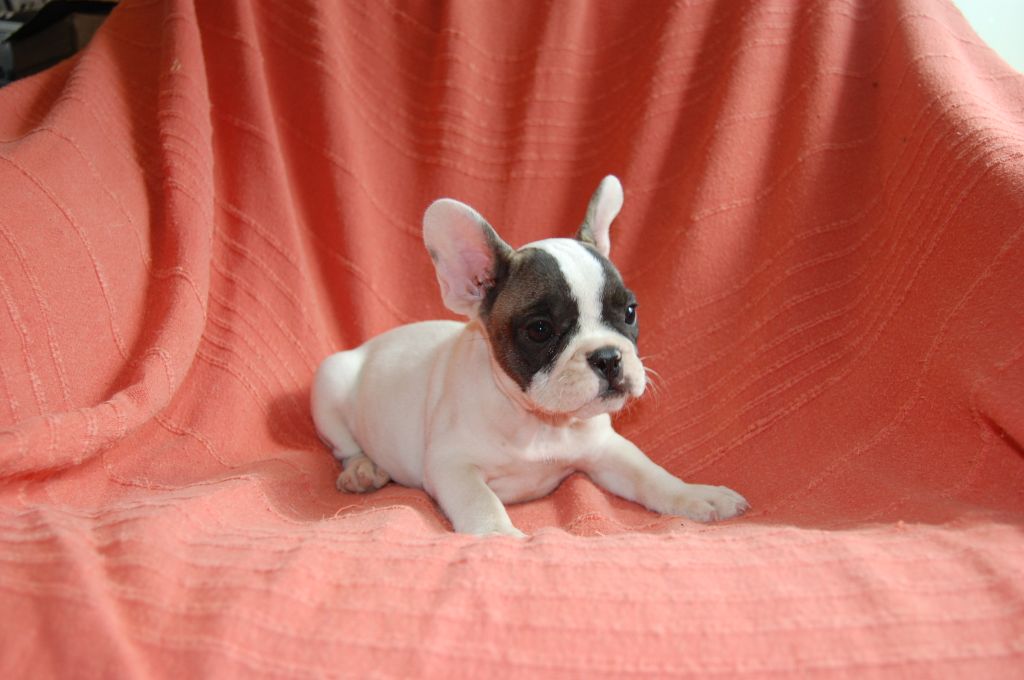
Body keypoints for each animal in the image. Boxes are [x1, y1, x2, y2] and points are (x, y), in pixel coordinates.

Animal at [311, 176, 749, 536]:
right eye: (540, 330)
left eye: (629, 312)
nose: (608, 357)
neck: (541, 422)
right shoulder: (452, 466)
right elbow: (481, 501)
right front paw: (499, 536)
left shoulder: (606, 449)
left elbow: (650, 474)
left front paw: (696, 494)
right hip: (329, 382)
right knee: (344, 446)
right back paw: (362, 471)